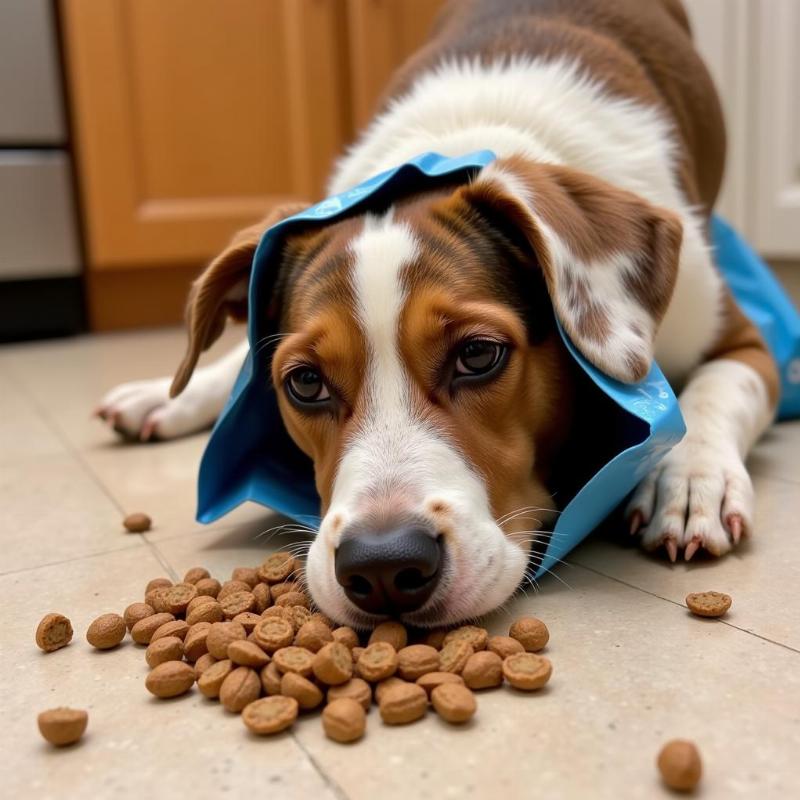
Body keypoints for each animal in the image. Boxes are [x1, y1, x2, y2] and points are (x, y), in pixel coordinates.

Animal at [95, 0, 776, 628]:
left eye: (478, 354)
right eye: (305, 383)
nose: (383, 567)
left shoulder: (741, 341)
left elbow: (719, 389)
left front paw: (690, 480)